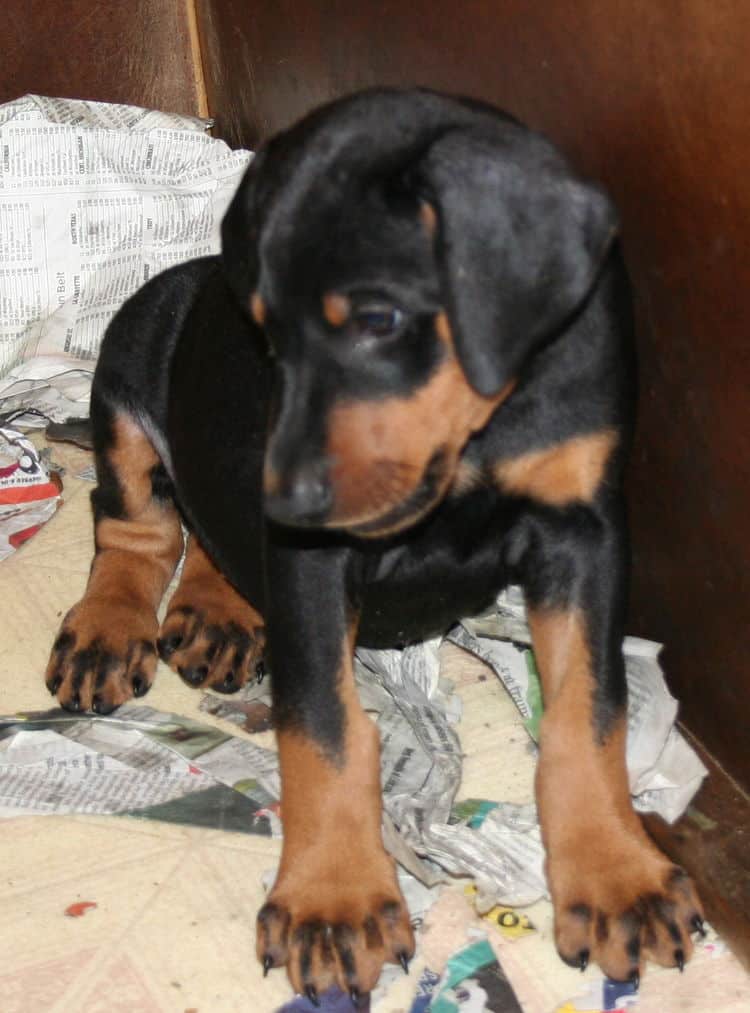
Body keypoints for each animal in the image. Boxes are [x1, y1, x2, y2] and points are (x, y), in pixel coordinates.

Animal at [45, 91, 701, 1000]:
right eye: (267, 336)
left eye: (378, 319)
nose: (280, 499)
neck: (479, 428)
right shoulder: (312, 559)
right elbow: (324, 724)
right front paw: (334, 897)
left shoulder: (585, 528)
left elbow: (589, 710)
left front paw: (616, 873)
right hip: (134, 347)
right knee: (134, 522)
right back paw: (109, 627)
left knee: (206, 523)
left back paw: (218, 608)